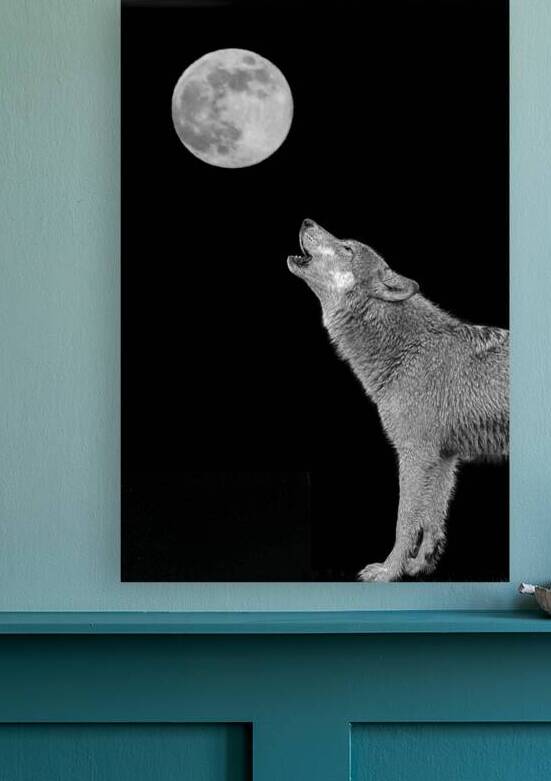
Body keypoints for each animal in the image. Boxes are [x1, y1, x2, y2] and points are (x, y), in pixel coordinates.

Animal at [287, 219, 509, 582]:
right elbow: (432, 519)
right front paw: (420, 564)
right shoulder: (444, 457)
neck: (406, 351)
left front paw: (390, 570)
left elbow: (404, 522)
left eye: (347, 248)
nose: (307, 221)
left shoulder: (414, 454)